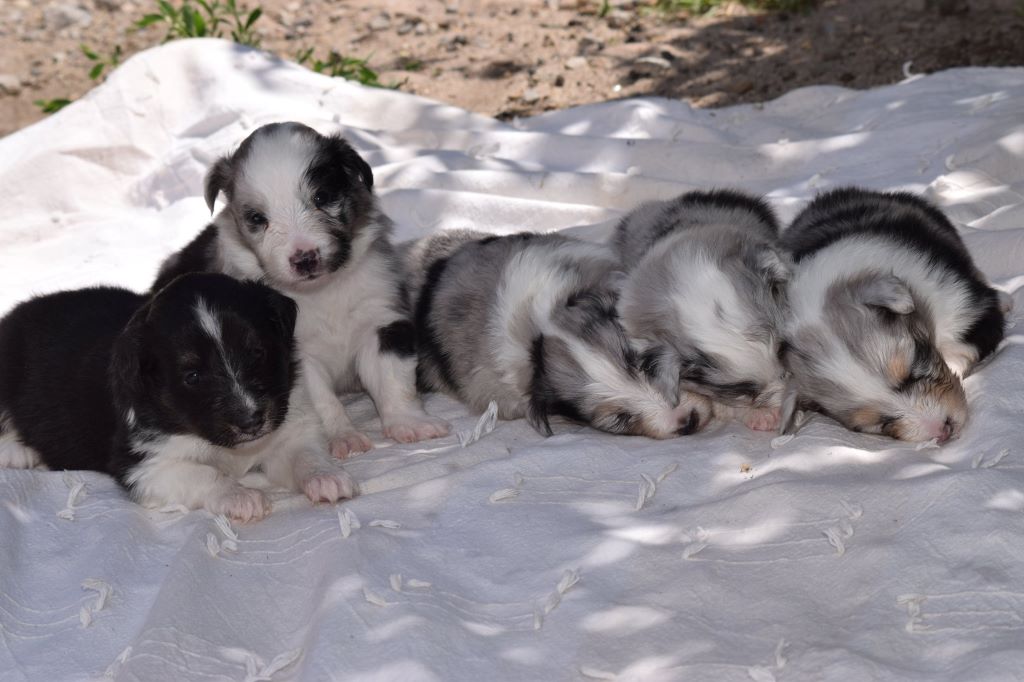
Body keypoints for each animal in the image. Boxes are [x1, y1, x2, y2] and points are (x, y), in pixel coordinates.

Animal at [0, 274, 356, 518]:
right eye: (193, 376)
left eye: (257, 352)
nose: (251, 421)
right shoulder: (147, 465)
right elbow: (206, 473)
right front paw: (242, 498)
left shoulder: (289, 428)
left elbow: (304, 455)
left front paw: (327, 478)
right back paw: (18, 452)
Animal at [153, 120, 450, 456]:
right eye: (257, 218)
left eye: (321, 198)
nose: (304, 259)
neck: (322, 292)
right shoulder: (294, 352)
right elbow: (323, 401)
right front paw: (344, 436)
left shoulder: (381, 320)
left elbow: (393, 378)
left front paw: (410, 423)